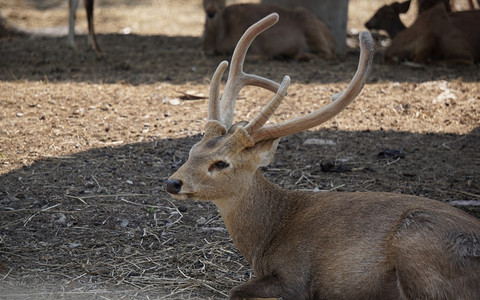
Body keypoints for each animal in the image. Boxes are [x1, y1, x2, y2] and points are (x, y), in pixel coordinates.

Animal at [166, 13, 480, 300]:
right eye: (192, 151)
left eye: (221, 163)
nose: (173, 182)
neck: (268, 233)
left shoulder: (296, 277)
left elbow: (237, 290)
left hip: (417, 244)